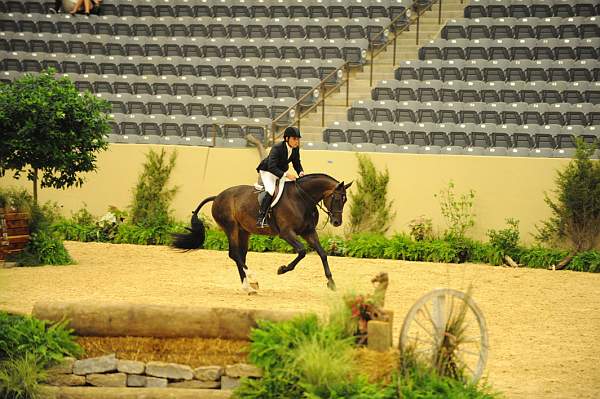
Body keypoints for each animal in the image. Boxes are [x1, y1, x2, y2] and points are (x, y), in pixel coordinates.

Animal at [171, 174, 352, 294]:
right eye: (337, 199)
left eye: (345, 200)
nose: (337, 222)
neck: (302, 199)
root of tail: (217, 197)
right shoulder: (286, 233)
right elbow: (302, 251)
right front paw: (282, 269)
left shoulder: (308, 232)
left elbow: (322, 253)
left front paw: (331, 283)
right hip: (231, 228)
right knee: (234, 254)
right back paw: (252, 280)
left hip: (243, 232)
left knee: (240, 255)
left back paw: (248, 286)